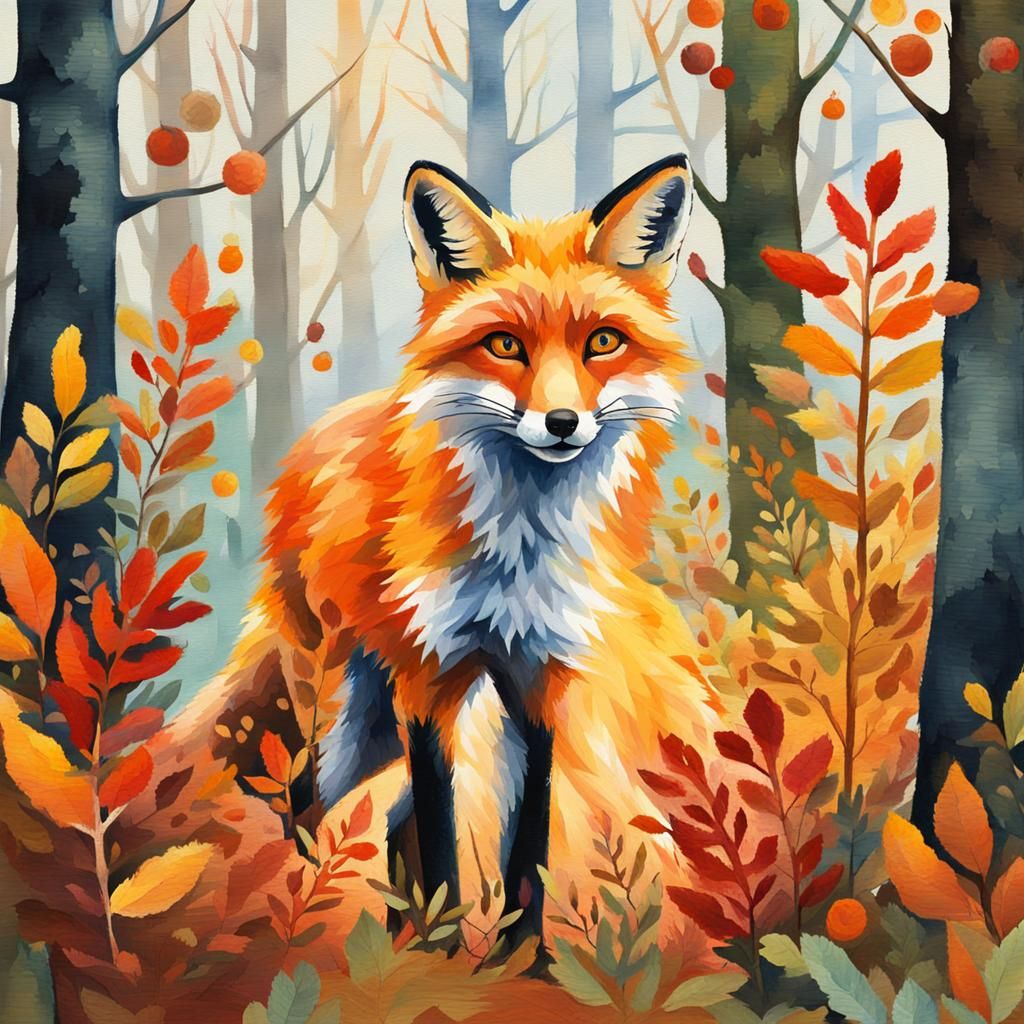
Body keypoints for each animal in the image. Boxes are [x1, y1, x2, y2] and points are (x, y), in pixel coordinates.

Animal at [182, 154, 720, 953]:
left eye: (602, 342)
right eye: (504, 345)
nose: (564, 422)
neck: (517, 551)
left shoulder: (543, 677)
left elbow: (529, 840)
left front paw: (526, 960)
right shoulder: (428, 679)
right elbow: (439, 840)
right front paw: (439, 951)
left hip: (388, 727)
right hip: (343, 714)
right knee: (306, 807)